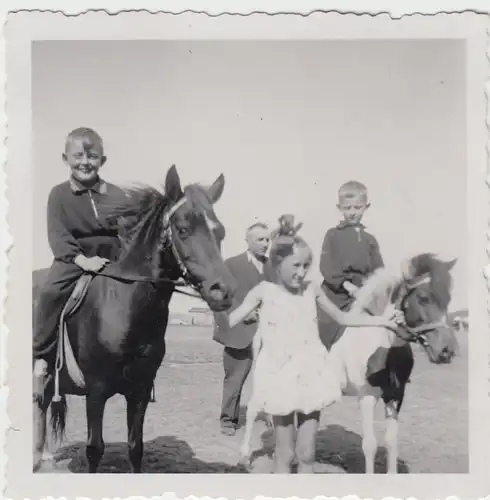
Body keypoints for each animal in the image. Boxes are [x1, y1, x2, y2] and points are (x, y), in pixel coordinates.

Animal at [33, 165, 236, 472]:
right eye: (183, 229)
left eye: (220, 232)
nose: (223, 290)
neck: (123, 306)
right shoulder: (96, 392)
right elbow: (94, 449)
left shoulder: (139, 392)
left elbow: (135, 448)